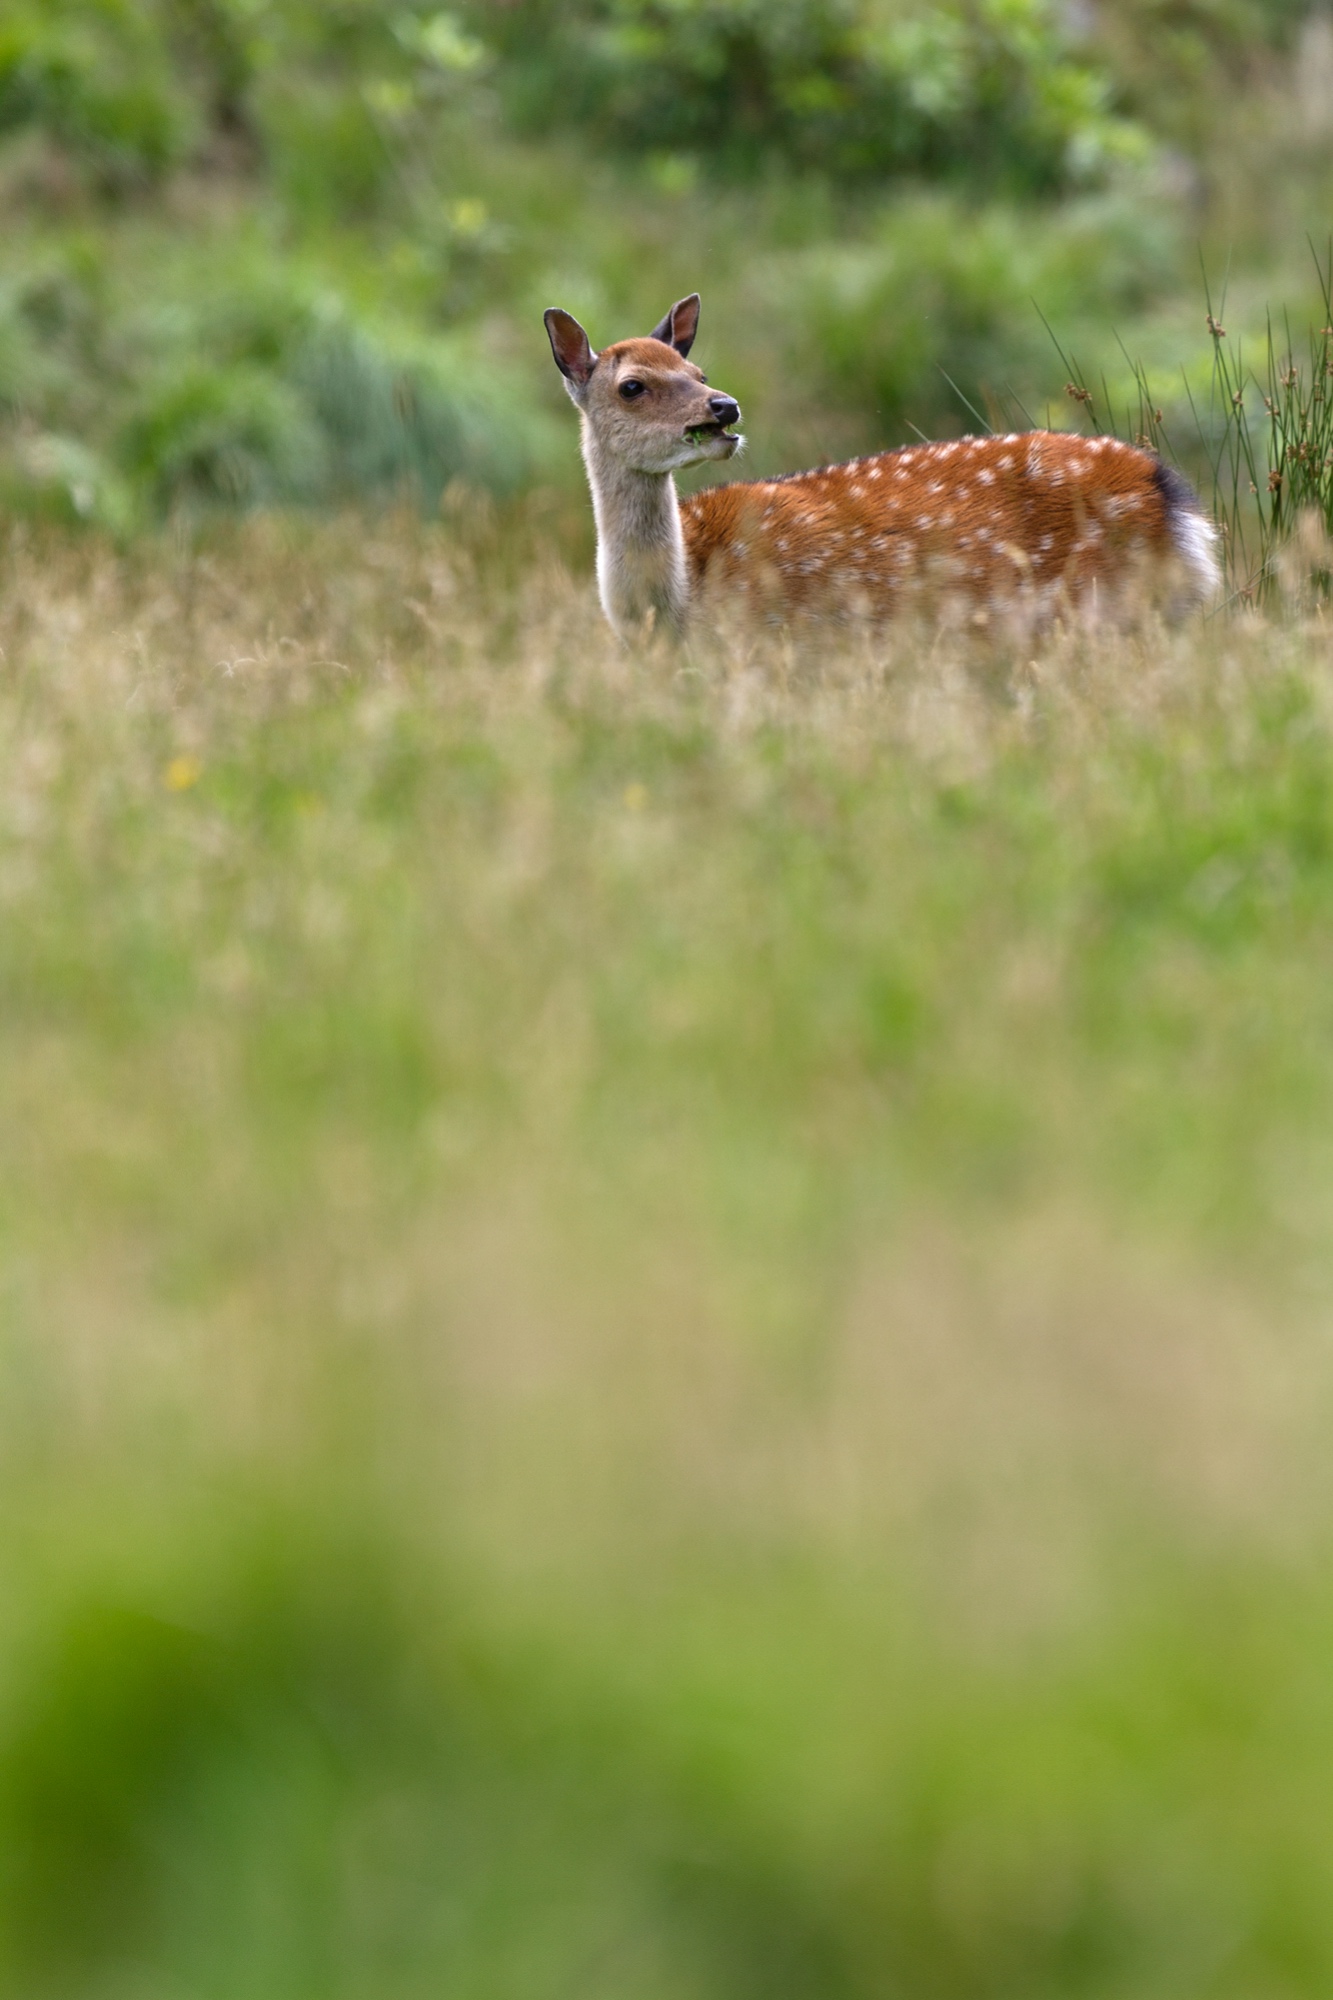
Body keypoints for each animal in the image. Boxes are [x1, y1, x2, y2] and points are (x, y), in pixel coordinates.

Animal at [544, 293, 1220, 641]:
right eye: (632, 386)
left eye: (697, 371)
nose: (724, 406)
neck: (677, 607)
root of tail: (1171, 498)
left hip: (1102, 610)